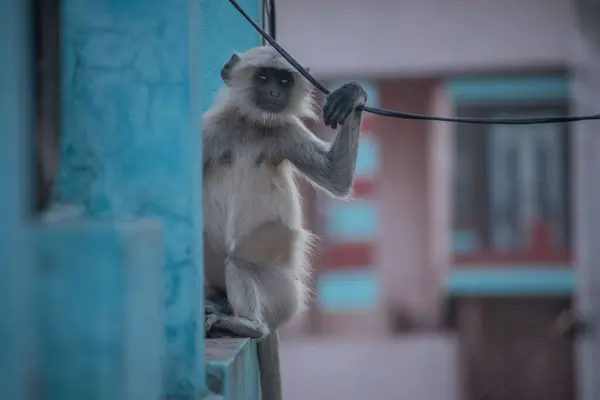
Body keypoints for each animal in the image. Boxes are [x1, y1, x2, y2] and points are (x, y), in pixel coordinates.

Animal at [202, 44, 366, 400]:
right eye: (263, 77)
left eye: (284, 80)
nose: (275, 93)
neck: (251, 126)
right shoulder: (211, 129)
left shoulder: (286, 132)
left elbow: (337, 179)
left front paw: (353, 94)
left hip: (283, 294)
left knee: (239, 260)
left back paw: (247, 324)